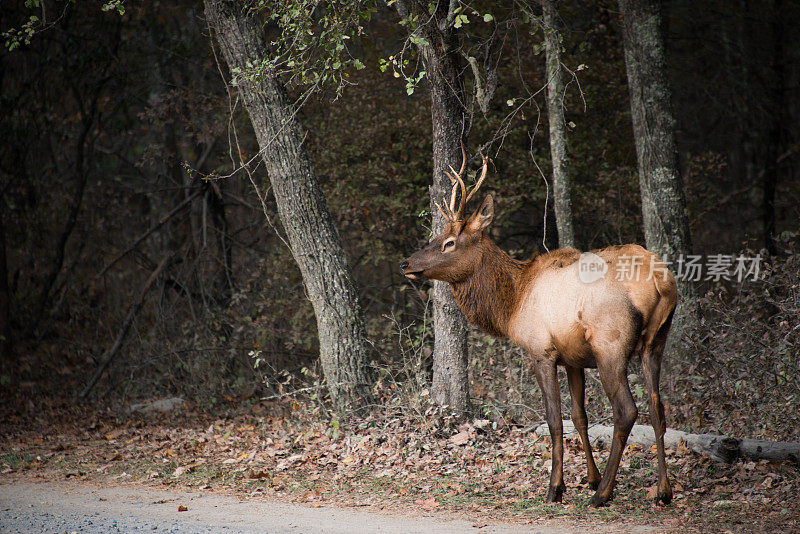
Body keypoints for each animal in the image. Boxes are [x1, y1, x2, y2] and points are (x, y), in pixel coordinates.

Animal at [400, 149, 676, 508]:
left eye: (448, 242)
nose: (406, 263)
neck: (512, 303)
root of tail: (662, 281)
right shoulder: (573, 357)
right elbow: (579, 416)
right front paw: (589, 477)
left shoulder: (541, 350)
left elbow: (554, 420)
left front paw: (556, 487)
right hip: (655, 342)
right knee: (658, 407)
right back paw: (663, 490)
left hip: (610, 345)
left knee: (627, 411)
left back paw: (603, 494)